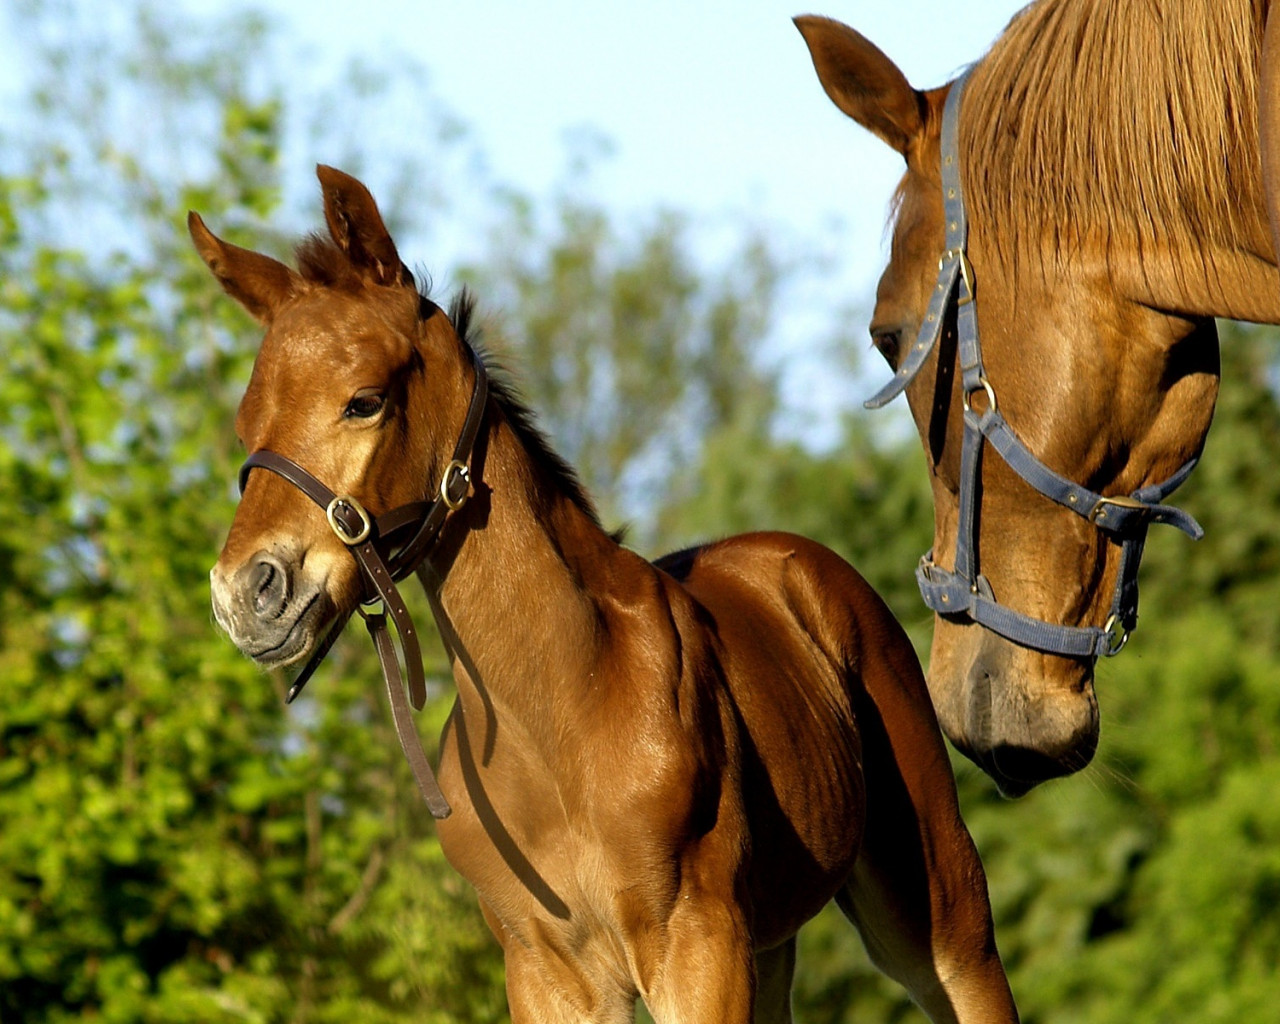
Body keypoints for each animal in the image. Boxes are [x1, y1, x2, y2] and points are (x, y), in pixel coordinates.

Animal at [186, 167, 1018, 1024]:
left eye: (364, 400)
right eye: (247, 425)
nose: (247, 592)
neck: (559, 713)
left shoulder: (698, 947)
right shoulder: (545, 971)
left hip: (937, 911)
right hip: (772, 944)